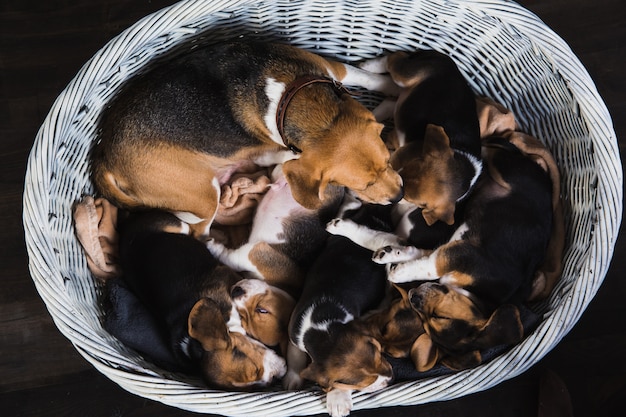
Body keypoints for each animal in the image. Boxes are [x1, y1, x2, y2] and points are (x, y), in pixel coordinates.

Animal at [92, 41, 404, 239]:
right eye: (362, 186)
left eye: (389, 161)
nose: (399, 196)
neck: (291, 99)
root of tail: (104, 155)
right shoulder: (266, 149)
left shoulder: (330, 69)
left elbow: (364, 77)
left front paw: (392, 87)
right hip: (204, 195)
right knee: (199, 231)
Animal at [286, 234, 390, 416]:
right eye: (364, 383)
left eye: (380, 355)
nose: (390, 379)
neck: (324, 331)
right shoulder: (294, 334)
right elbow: (295, 355)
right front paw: (292, 379)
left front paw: (338, 399)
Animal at [356, 50, 482, 226]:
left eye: (412, 200)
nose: (399, 196)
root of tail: (445, 59)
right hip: (405, 73)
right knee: (395, 57)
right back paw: (369, 65)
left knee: (390, 102)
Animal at [376, 138, 552, 368]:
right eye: (442, 317)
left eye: (435, 320)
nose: (414, 297)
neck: (478, 297)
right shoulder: (464, 254)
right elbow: (429, 263)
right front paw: (396, 264)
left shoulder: (455, 251)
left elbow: (423, 259)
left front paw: (395, 261)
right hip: (505, 170)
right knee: (490, 154)